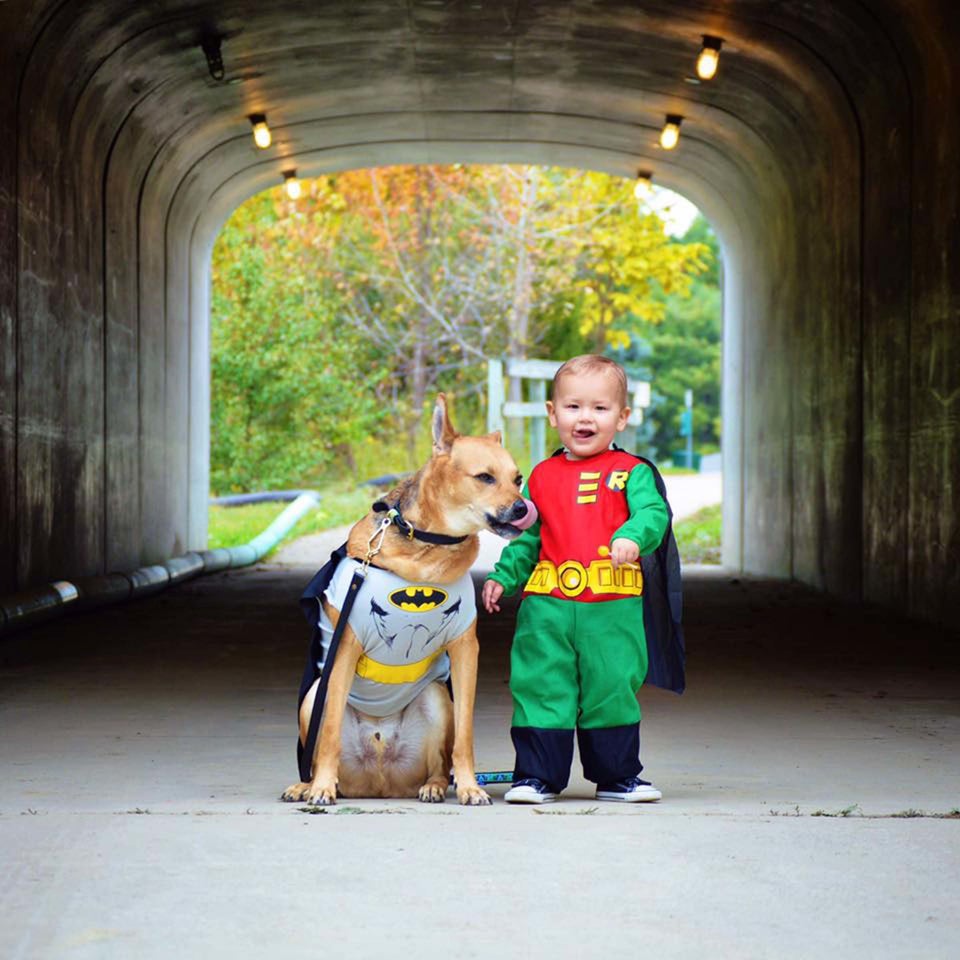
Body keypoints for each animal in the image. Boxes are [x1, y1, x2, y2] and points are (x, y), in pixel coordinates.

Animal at [282, 394, 528, 808]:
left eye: (518, 478)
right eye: (484, 477)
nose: (523, 508)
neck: (428, 548)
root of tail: (380, 780)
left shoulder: (466, 650)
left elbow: (465, 735)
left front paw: (469, 786)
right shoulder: (344, 649)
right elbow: (327, 733)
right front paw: (320, 788)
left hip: (436, 697)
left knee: (438, 763)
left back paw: (434, 786)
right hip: (314, 694)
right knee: (315, 748)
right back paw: (310, 784)